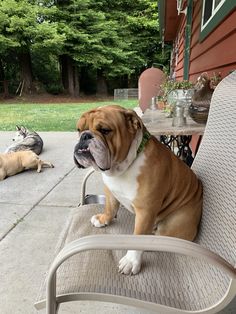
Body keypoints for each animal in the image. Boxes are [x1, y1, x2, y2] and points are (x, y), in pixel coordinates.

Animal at [74, 105, 203, 274]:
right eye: (78, 130)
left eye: (105, 130)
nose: (84, 136)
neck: (123, 168)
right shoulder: (110, 192)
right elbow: (110, 207)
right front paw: (103, 219)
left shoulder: (145, 210)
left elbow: (138, 236)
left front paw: (131, 260)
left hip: (173, 223)